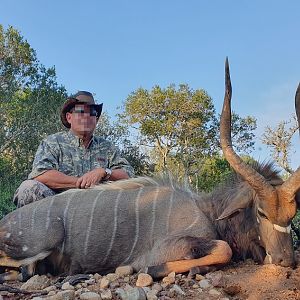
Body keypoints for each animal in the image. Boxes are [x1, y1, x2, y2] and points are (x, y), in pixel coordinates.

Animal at [0, 58, 298, 282]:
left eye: (291, 215)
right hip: (41, 242)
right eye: (261, 212)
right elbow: (222, 250)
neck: (208, 210)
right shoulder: (166, 248)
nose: (285, 261)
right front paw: (142, 269)